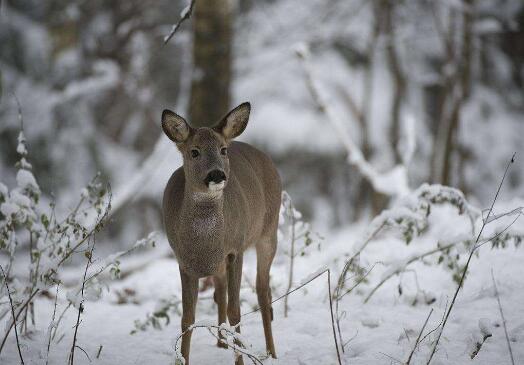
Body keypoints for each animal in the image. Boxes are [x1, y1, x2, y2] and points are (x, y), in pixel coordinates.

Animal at [162, 101, 282, 362]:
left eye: (223, 150)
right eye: (194, 151)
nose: (216, 174)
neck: (204, 243)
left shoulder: (235, 249)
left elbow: (235, 311)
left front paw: (241, 360)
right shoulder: (183, 261)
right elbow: (187, 318)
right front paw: (183, 358)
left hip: (269, 231)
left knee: (263, 292)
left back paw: (271, 353)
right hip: (219, 265)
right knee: (220, 292)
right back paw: (221, 344)